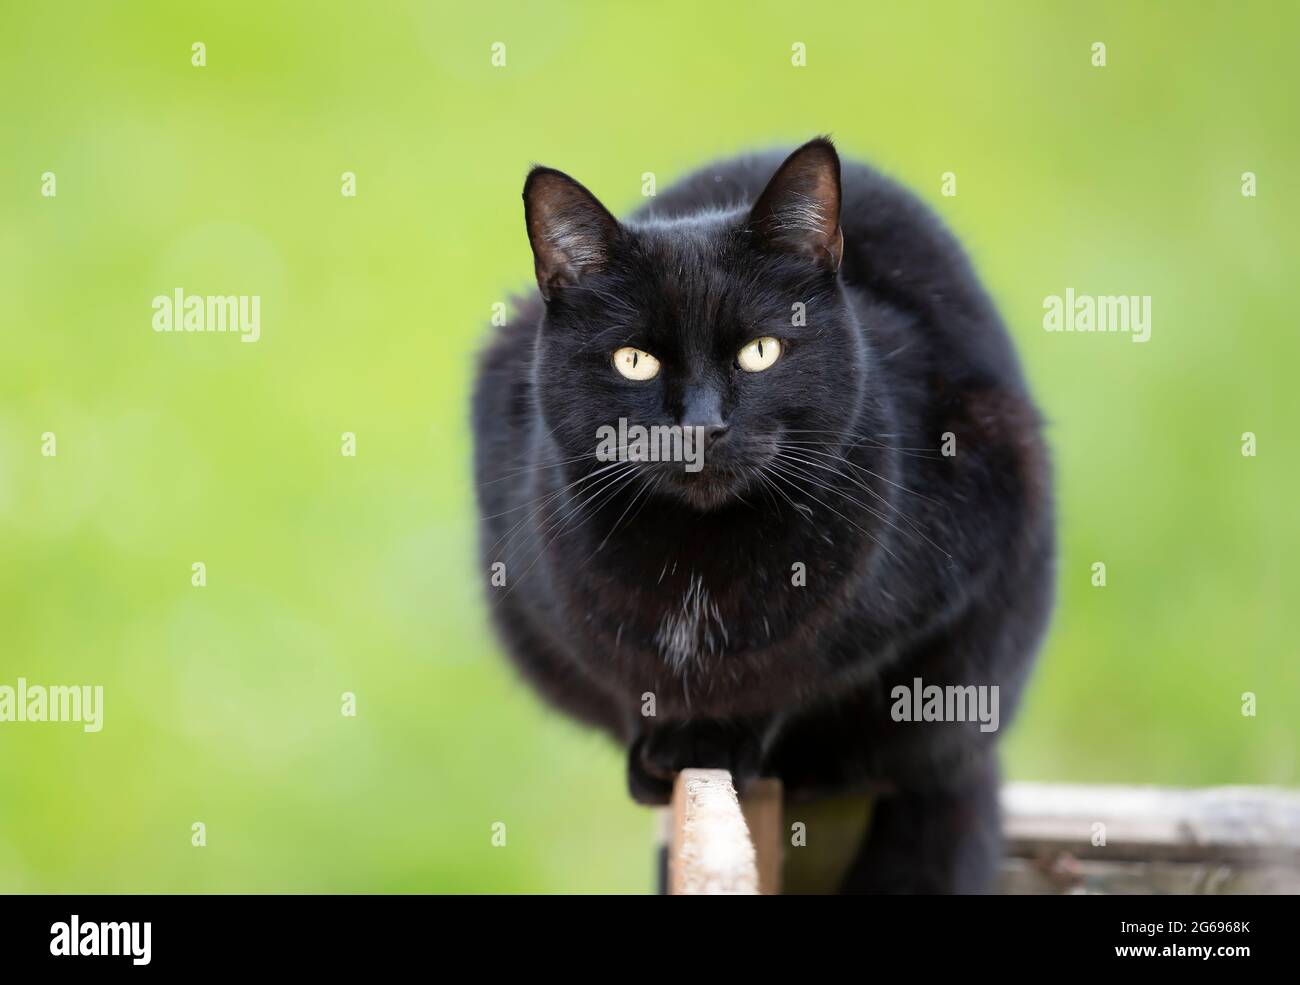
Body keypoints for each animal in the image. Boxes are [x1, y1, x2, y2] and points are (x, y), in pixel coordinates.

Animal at [473, 137, 1050, 894]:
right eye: (633, 360)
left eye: (760, 351)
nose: (701, 425)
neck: (698, 553)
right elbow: (624, 675)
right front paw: (657, 752)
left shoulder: (950, 546)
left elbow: (796, 677)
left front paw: (721, 742)